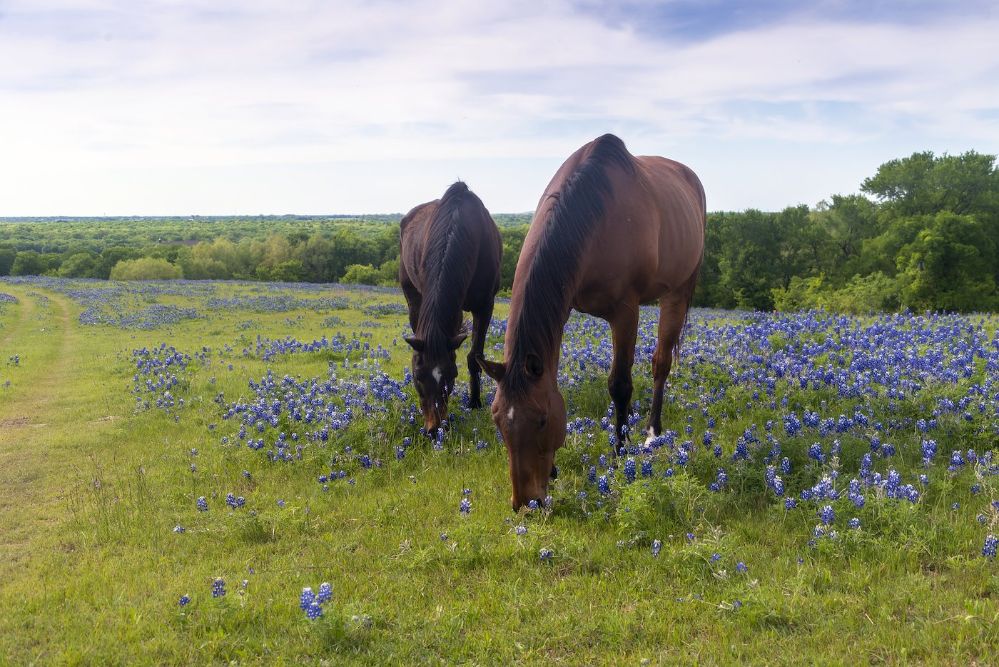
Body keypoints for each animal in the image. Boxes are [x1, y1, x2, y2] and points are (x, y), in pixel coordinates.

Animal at [399, 181, 502, 434]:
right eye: (417, 376)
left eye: (452, 375)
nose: (434, 429)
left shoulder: (485, 304)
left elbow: (475, 356)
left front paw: (474, 402)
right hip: (411, 293)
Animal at [477, 134, 705, 509]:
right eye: (496, 419)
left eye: (542, 420)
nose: (526, 503)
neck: (595, 216)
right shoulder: (563, 305)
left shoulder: (626, 310)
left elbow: (620, 384)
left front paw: (619, 452)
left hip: (677, 290)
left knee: (661, 363)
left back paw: (651, 433)